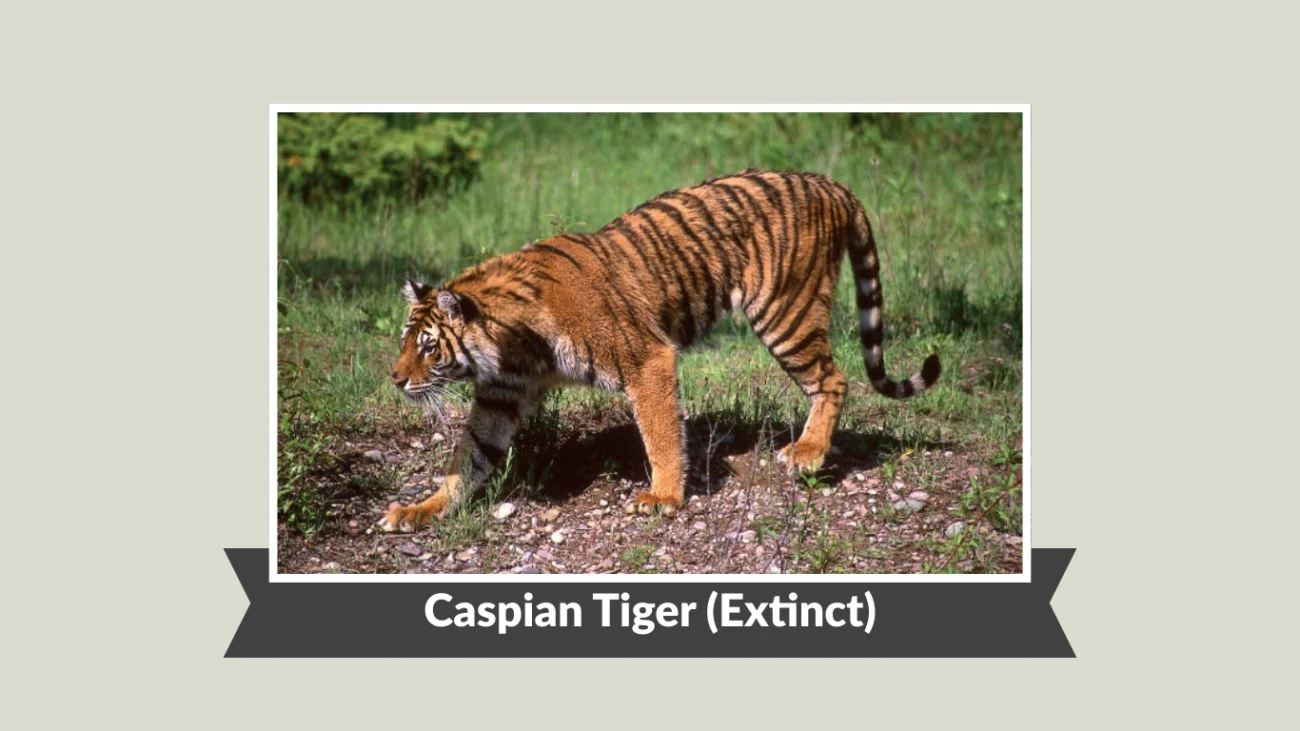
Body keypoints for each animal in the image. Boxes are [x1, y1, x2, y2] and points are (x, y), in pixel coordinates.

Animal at [378, 169, 940, 533]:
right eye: (406, 340)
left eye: (428, 347)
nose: (396, 378)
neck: (514, 345)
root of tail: (830, 183)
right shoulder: (501, 395)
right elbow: (468, 457)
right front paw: (421, 510)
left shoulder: (647, 358)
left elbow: (661, 432)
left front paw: (664, 497)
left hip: (786, 312)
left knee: (833, 379)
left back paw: (807, 453)